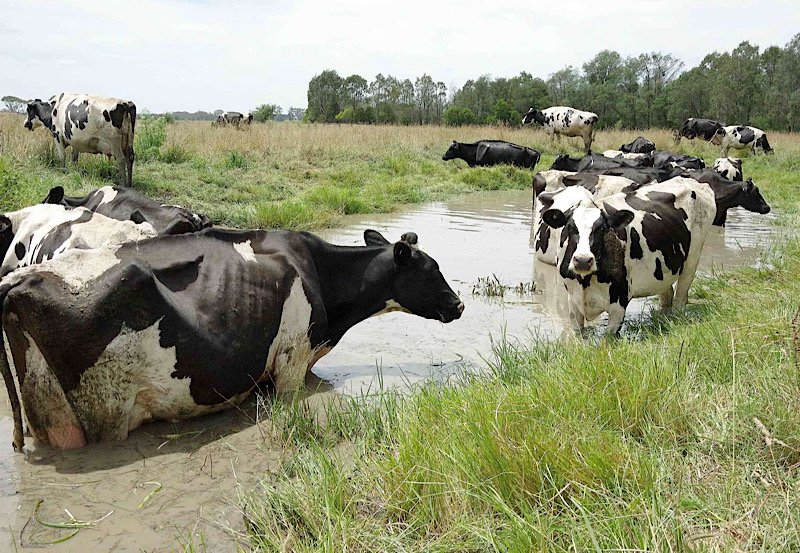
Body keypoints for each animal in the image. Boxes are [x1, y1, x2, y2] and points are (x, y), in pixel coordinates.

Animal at [540, 177, 716, 335]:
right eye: (569, 227)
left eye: (602, 228)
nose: (582, 260)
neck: (586, 281)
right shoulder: (573, 301)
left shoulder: (620, 301)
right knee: (667, 297)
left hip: (692, 261)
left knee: (680, 298)